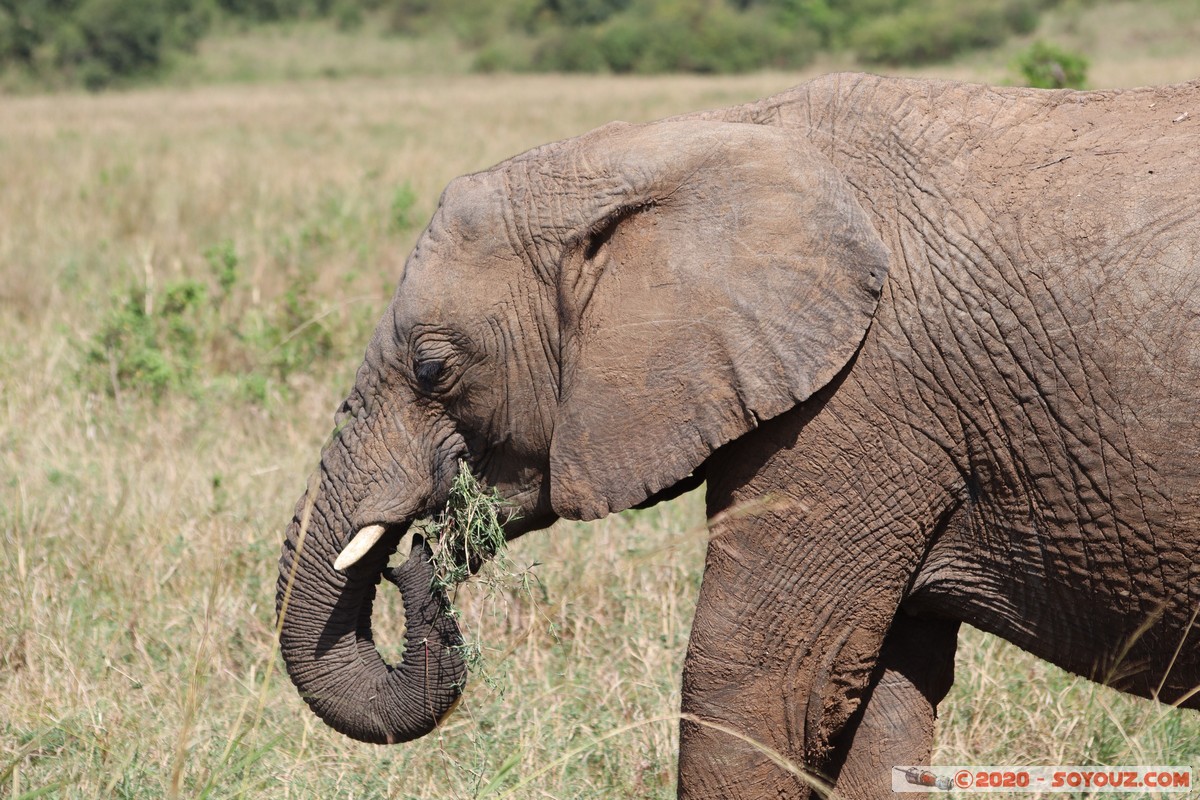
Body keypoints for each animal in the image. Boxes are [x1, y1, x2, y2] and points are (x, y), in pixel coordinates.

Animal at [276, 71, 1200, 796]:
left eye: (434, 369)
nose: (425, 553)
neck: (704, 137)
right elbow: (879, 700)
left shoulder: (858, 399)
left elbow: (751, 684)